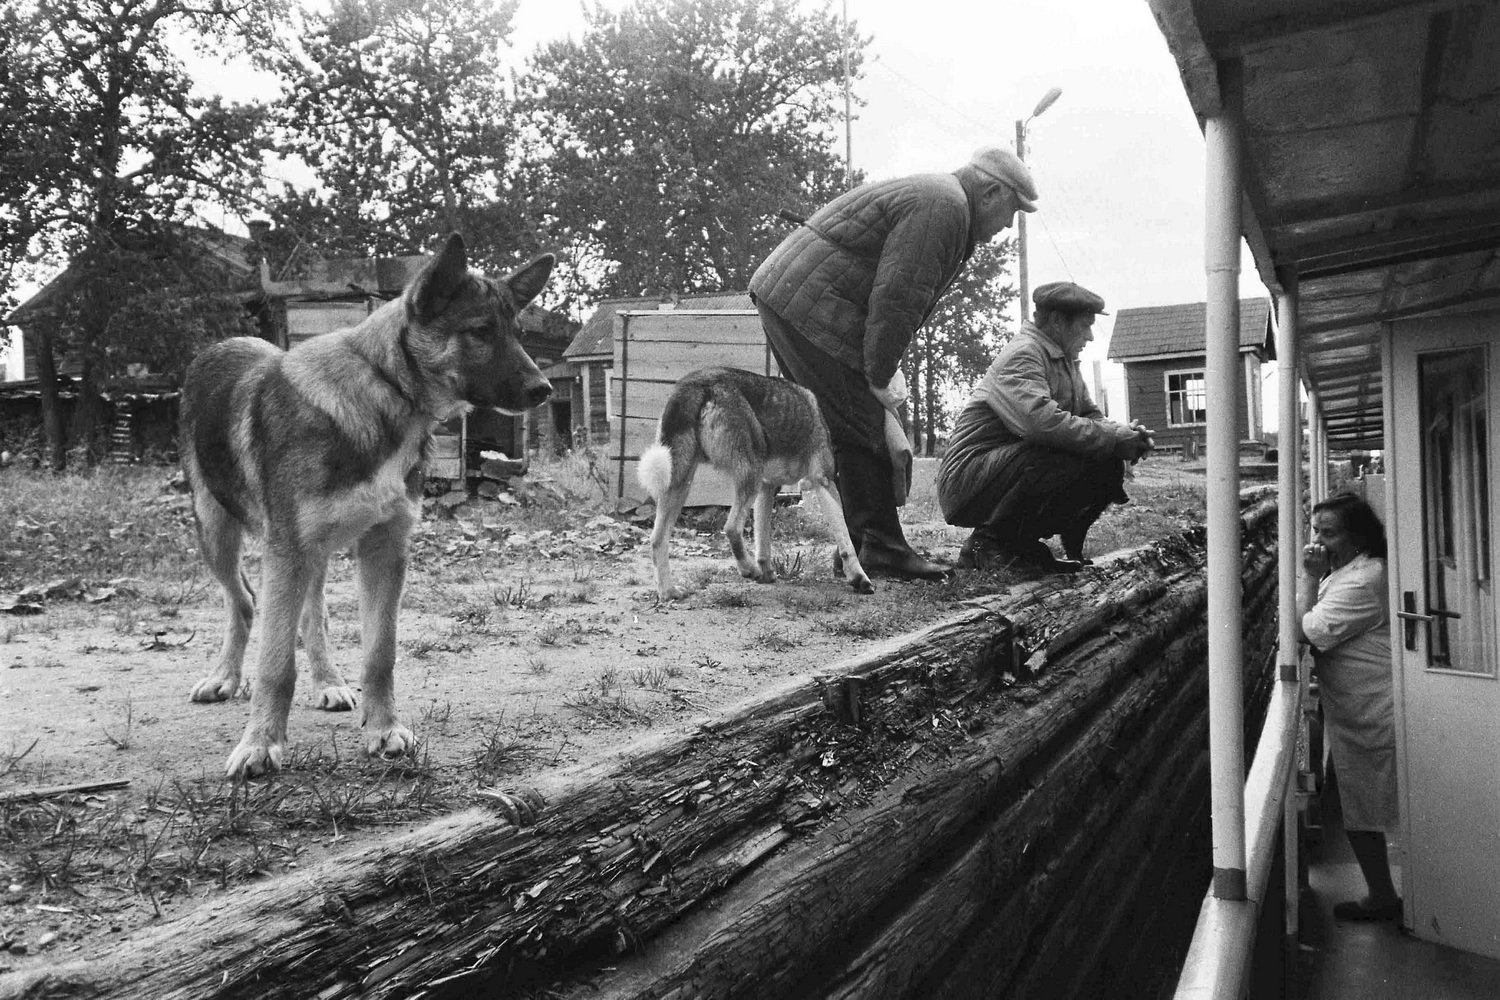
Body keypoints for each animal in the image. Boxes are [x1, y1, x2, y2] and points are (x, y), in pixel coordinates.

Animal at [175, 235, 552, 779]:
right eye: (480, 331)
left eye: (519, 334)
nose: (543, 390)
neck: (383, 393)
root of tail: (224, 344)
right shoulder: (287, 550)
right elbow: (275, 664)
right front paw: (261, 742)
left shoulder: (384, 550)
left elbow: (379, 653)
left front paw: (383, 728)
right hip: (219, 533)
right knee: (243, 601)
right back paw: (224, 676)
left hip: (308, 553)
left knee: (313, 617)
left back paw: (328, 681)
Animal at [636, 367, 876, 602]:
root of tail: (697, 383)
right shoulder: (823, 482)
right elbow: (846, 543)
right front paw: (860, 579)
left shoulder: (766, 488)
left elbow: (763, 540)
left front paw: (767, 574)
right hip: (748, 475)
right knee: (731, 528)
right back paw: (748, 570)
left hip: (680, 481)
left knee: (657, 539)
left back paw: (669, 593)